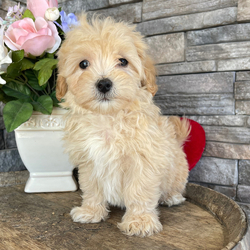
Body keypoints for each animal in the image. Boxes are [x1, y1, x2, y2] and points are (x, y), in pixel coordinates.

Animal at [56, 14, 189, 237]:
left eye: (123, 61)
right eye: (83, 64)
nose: (103, 83)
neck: (109, 117)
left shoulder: (143, 160)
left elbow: (139, 190)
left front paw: (140, 221)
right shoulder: (89, 161)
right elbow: (91, 187)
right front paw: (91, 211)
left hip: (177, 169)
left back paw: (172, 197)